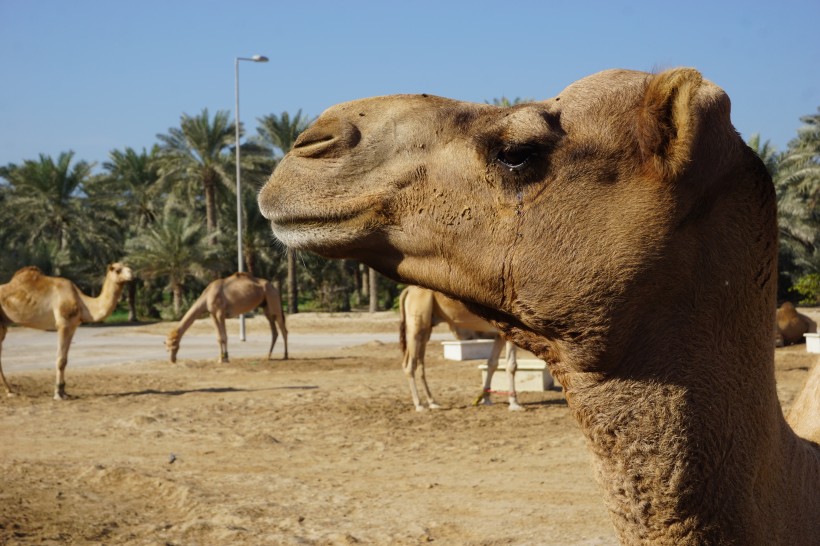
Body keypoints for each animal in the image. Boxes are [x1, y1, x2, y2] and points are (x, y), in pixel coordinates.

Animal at [0, 262, 134, 398]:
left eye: (128, 266)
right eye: (117, 270)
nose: (131, 274)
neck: (82, 303)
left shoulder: (72, 326)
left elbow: (65, 360)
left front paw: (64, 391)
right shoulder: (63, 324)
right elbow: (60, 360)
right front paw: (58, 393)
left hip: (3, 326)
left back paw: (9, 390)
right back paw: (10, 391)